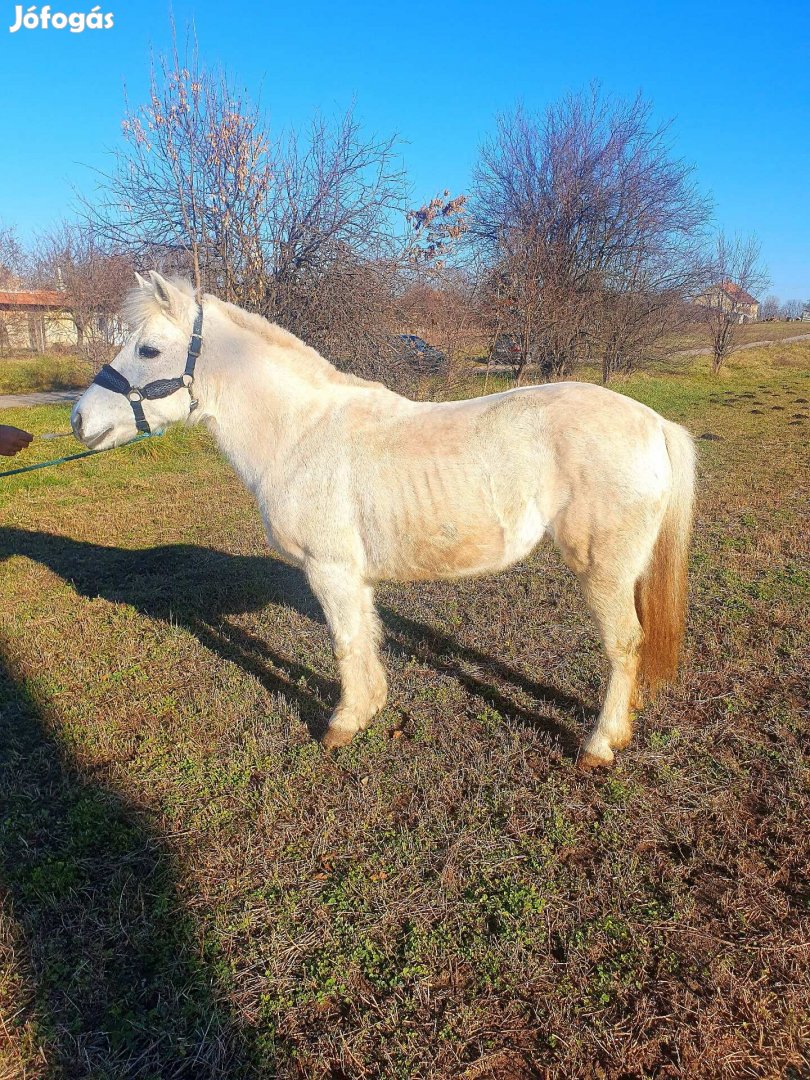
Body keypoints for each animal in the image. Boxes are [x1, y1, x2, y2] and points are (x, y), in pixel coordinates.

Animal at [74, 276, 699, 768]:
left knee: (623, 644)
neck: (302, 433)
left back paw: (599, 745)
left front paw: (343, 724)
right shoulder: (355, 577)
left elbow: (345, 643)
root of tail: (652, 422)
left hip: (603, 570)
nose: (79, 419)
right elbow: (367, 638)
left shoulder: (330, 570)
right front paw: (371, 706)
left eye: (149, 349)